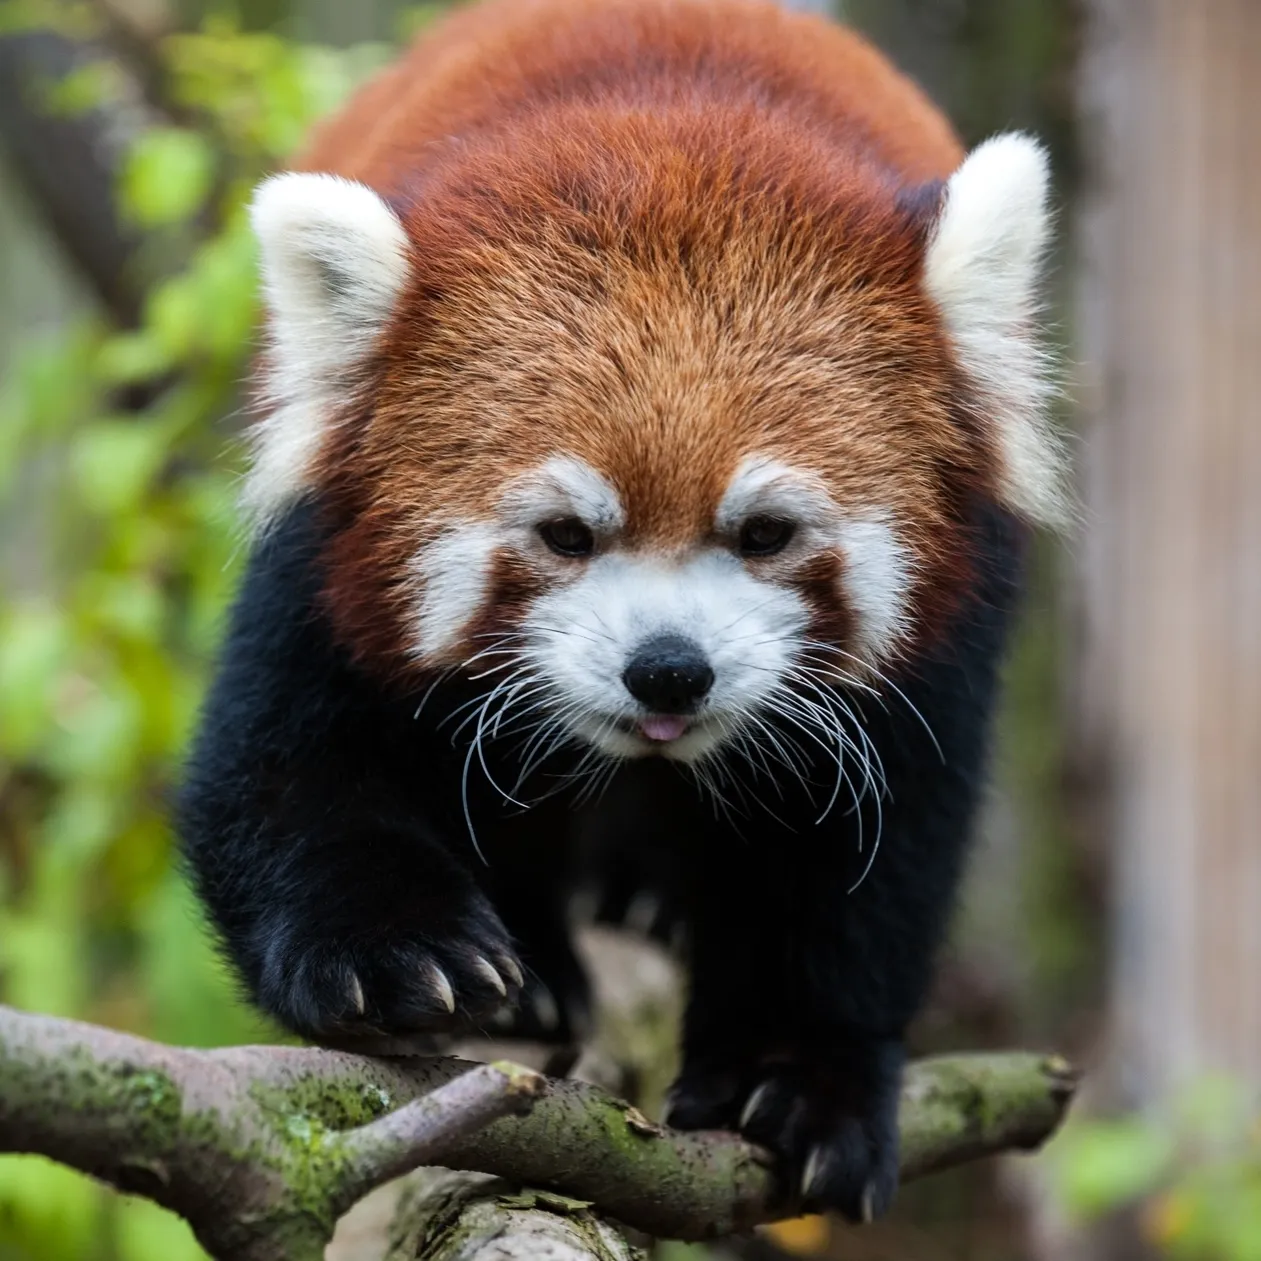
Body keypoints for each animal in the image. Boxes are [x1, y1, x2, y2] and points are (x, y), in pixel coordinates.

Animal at [177, 0, 1064, 1220]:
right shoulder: (328, 548)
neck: (657, 132)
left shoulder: (953, 603)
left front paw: (800, 1076)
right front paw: (401, 956)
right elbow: (281, 772)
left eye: (764, 532)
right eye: (565, 533)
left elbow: (870, 853)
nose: (667, 668)